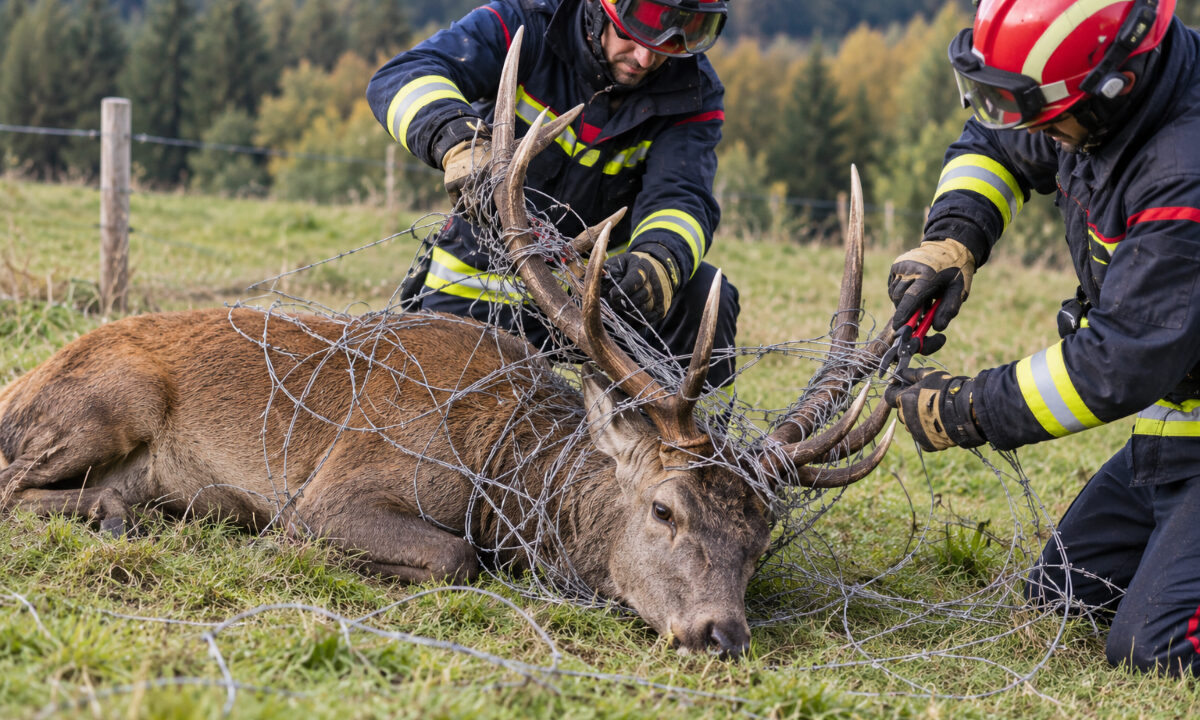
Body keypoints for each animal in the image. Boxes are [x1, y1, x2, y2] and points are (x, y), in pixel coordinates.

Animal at [0, 28, 896, 658]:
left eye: (759, 537)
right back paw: (128, 512)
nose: (721, 634)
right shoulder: (334, 492)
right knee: (15, 489)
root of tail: (19, 384)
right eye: (663, 508)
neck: (500, 474)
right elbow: (456, 556)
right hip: (107, 398)